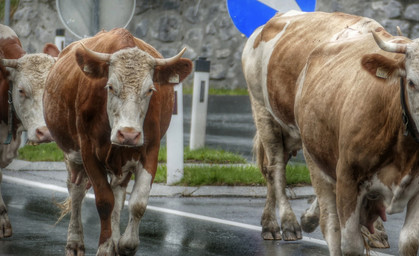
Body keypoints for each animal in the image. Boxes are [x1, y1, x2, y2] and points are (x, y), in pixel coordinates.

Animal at [43, 29, 193, 255]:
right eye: (111, 86)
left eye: (150, 90)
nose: (128, 134)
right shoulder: (88, 152)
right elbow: (105, 201)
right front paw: (105, 248)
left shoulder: (150, 151)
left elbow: (137, 202)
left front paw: (125, 244)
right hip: (72, 155)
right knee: (76, 191)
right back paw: (75, 242)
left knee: (118, 194)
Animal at [294, 20, 419, 254]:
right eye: (412, 82)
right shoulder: (347, 178)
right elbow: (351, 244)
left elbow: (410, 241)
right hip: (316, 163)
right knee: (331, 227)